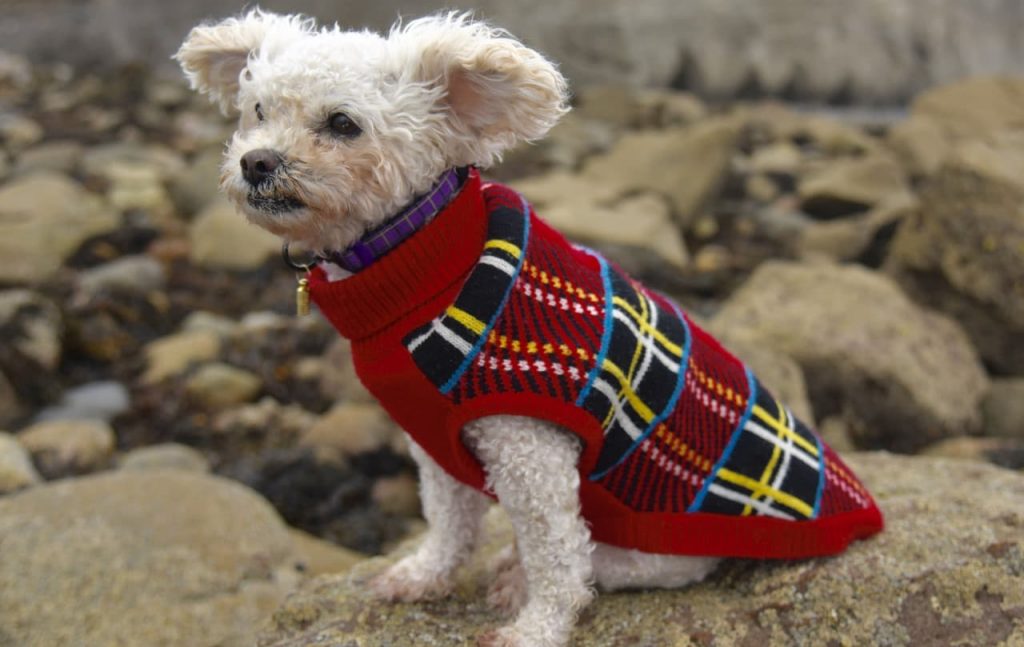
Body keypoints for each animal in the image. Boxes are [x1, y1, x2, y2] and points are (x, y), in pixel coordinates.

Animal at [176, 11, 880, 647]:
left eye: (342, 123)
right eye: (257, 111)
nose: (256, 163)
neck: (424, 260)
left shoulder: (527, 448)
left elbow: (557, 556)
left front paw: (537, 628)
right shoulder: (433, 438)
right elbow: (448, 521)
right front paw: (424, 574)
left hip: (669, 523)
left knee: (639, 563)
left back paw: (530, 574)